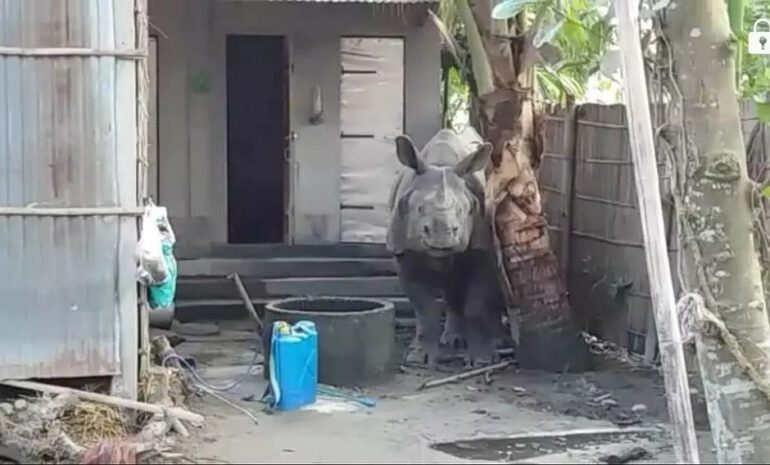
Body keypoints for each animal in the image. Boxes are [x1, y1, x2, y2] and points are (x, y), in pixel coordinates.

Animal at [387, 128, 509, 368]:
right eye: (419, 209)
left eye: (463, 210)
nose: (442, 238)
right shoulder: (403, 251)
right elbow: (424, 309)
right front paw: (419, 358)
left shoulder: (483, 247)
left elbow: (477, 306)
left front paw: (482, 360)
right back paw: (452, 341)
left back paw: (497, 341)